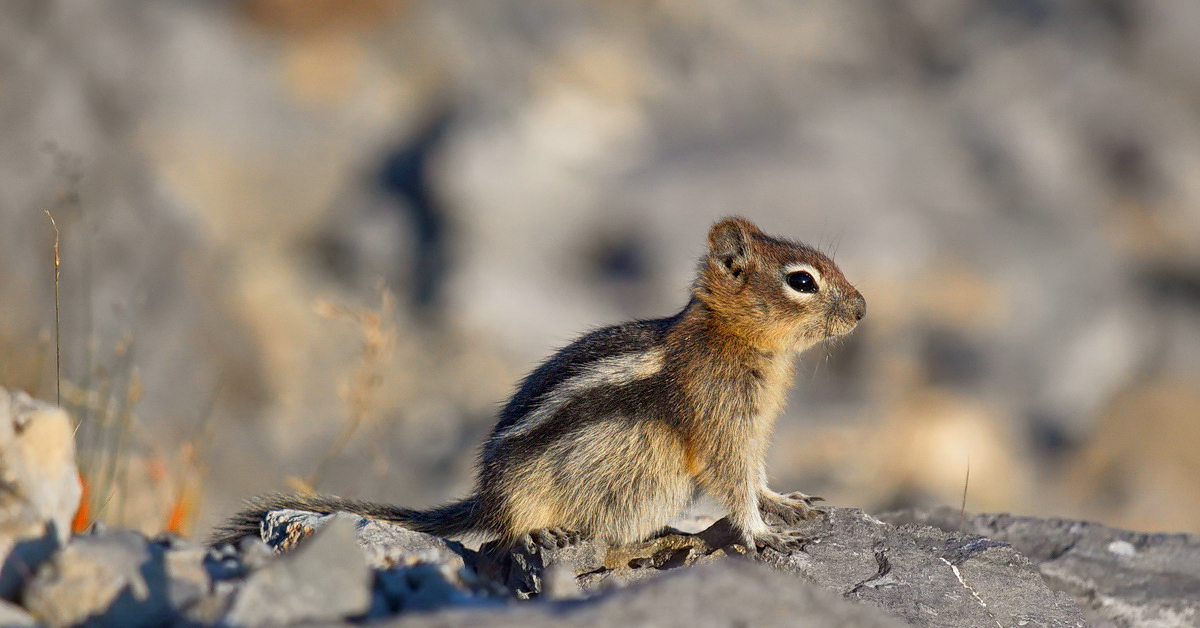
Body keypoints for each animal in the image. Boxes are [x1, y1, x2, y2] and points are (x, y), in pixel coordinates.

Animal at [216, 218, 864, 552]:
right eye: (801, 281)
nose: (861, 310)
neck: (726, 338)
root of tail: (487, 496)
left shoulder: (752, 431)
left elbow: (756, 475)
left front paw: (786, 502)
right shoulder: (720, 423)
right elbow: (732, 483)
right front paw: (761, 533)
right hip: (523, 500)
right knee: (504, 535)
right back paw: (538, 534)